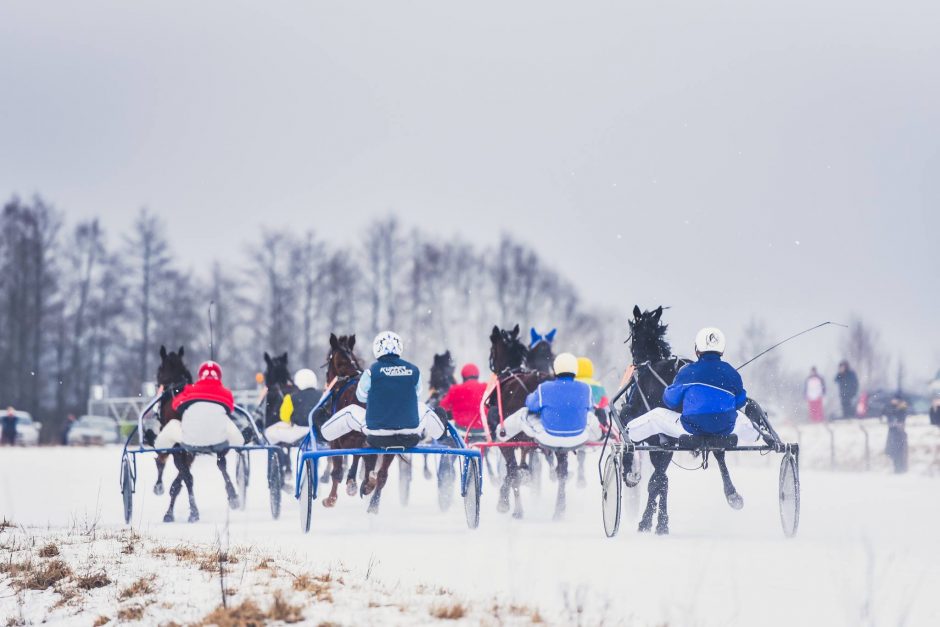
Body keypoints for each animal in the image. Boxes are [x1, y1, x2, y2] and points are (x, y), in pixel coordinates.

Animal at [620, 306, 752, 536]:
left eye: (633, 335)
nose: (634, 363)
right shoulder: (667, 442)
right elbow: (662, 479)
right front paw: (660, 521)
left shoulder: (646, 428)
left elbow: (656, 477)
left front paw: (651, 519)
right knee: (719, 452)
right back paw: (732, 495)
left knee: (659, 477)